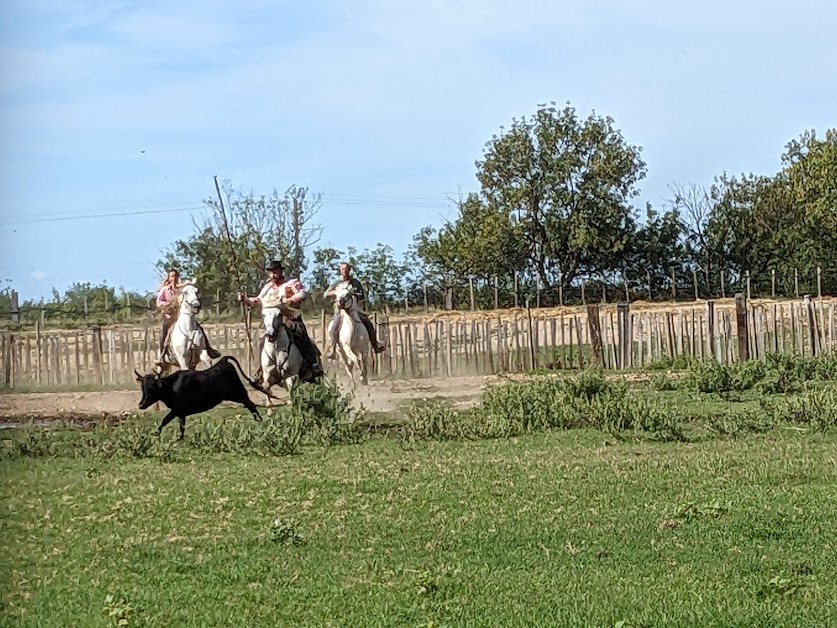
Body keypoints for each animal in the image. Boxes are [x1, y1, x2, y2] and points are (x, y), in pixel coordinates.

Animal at [133, 356, 262, 440]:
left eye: (152, 389)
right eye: (143, 388)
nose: (141, 405)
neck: (171, 386)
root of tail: (223, 361)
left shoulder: (176, 409)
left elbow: (165, 420)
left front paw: (156, 434)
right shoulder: (181, 413)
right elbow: (182, 426)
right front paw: (180, 439)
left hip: (238, 394)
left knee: (251, 405)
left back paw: (259, 421)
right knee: (250, 405)